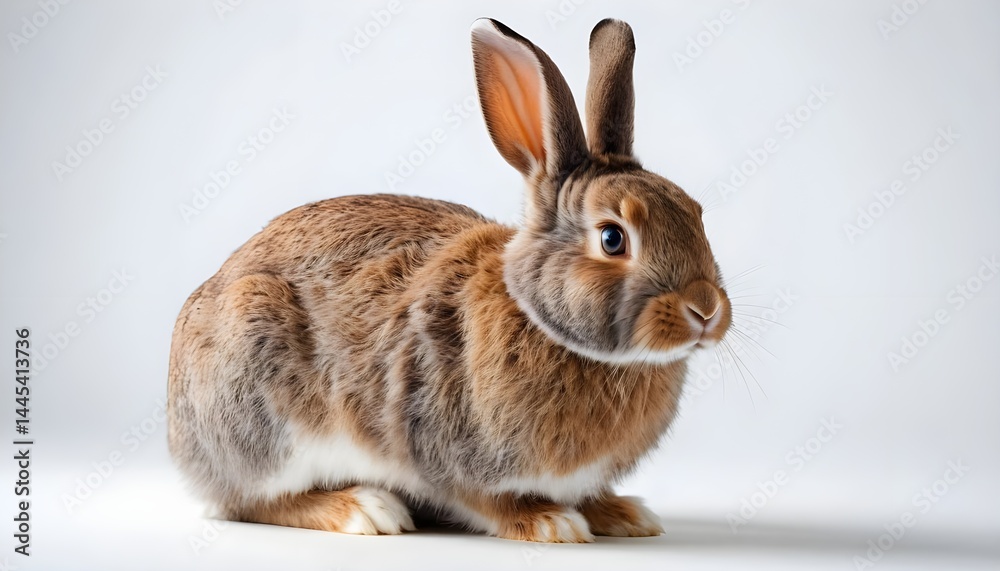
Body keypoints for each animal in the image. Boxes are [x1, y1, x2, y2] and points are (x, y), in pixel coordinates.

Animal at [167, 18, 731, 543]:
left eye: (697, 214)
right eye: (613, 239)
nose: (706, 310)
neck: (539, 318)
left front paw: (622, 514)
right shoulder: (441, 445)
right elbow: (485, 500)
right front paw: (550, 522)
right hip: (262, 411)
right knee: (253, 500)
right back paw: (364, 509)